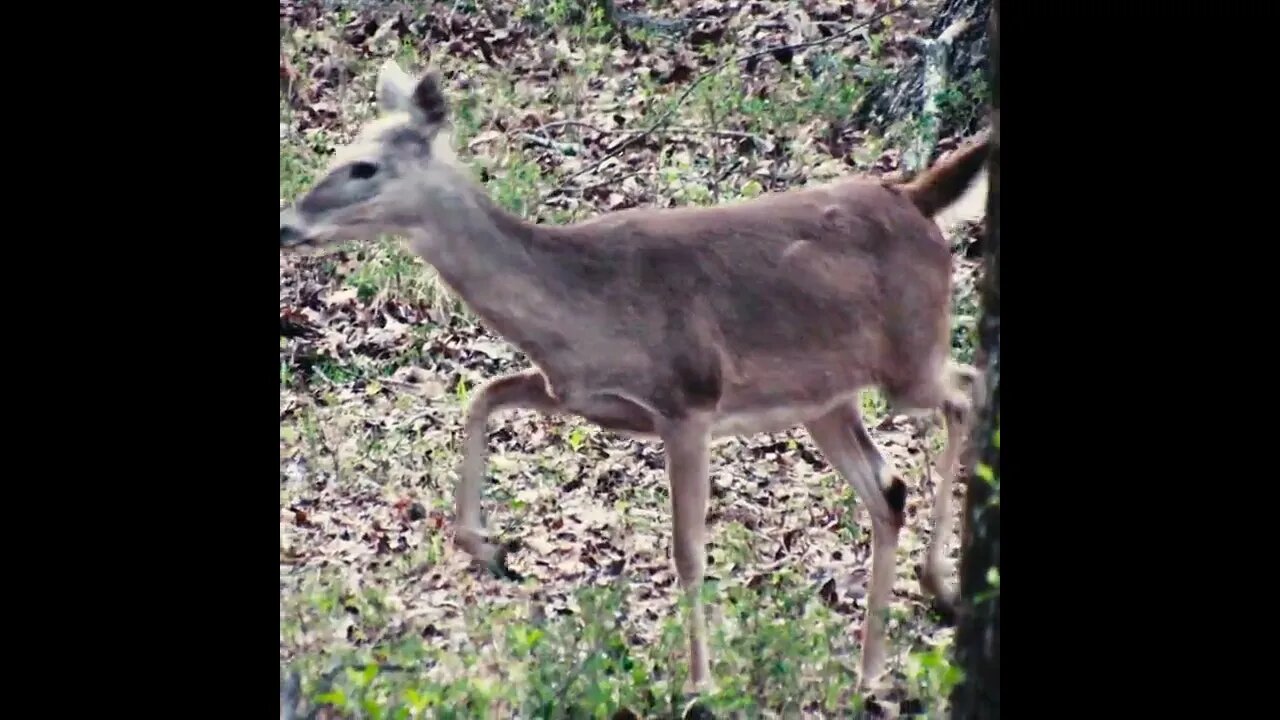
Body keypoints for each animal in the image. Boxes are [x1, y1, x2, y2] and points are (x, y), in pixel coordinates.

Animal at [279, 60, 989, 696]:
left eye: (365, 167)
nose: (288, 225)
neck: (584, 302)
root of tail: (917, 198)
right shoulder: (580, 394)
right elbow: (483, 395)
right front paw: (486, 547)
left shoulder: (688, 401)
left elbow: (689, 552)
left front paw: (699, 685)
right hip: (825, 398)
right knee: (889, 489)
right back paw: (872, 670)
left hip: (907, 358)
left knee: (967, 388)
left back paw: (940, 585)